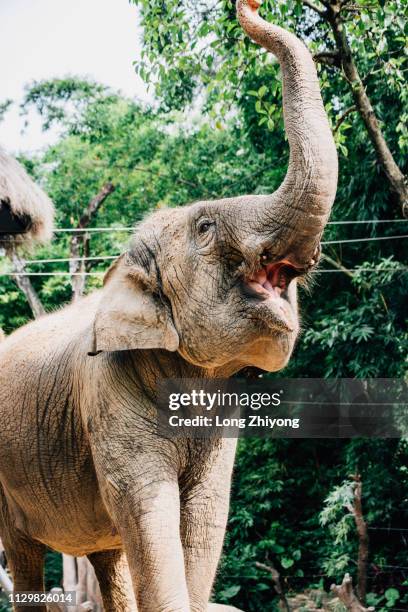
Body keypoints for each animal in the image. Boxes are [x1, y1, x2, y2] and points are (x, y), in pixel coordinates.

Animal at [0, 0, 338, 608]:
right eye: (205, 228)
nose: (249, 5)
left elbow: (204, 516)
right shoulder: (108, 395)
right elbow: (149, 511)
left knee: (106, 555)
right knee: (24, 553)